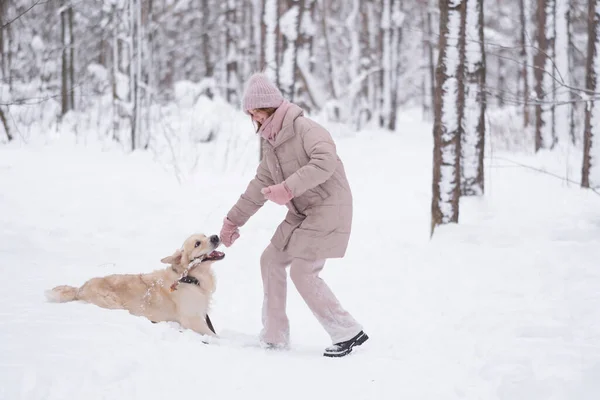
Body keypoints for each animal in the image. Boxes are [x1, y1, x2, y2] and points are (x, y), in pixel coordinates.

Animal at [45, 234, 225, 338]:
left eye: (205, 235)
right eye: (197, 243)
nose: (216, 236)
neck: (189, 277)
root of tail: (80, 289)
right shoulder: (192, 320)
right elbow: (215, 337)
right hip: (113, 305)